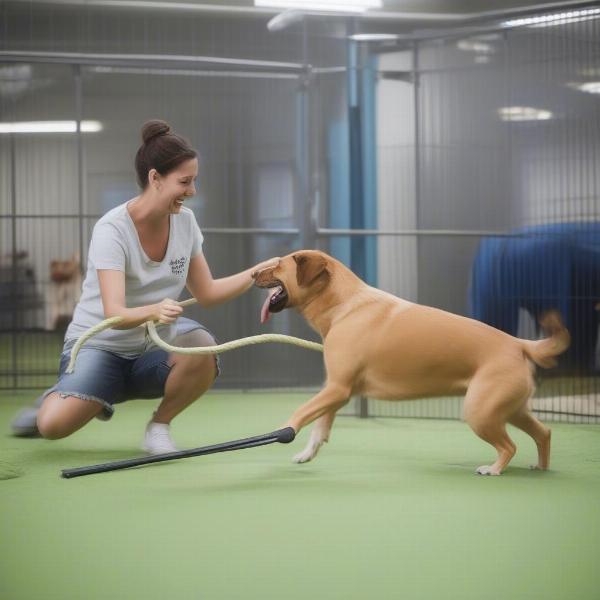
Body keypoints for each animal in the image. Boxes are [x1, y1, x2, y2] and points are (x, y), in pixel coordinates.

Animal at [251, 251, 568, 476]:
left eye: (277, 266)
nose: (252, 273)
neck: (346, 306)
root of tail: (518, 343)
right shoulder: (337, 390)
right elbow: (320, 426)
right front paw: (307, 453)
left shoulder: (338, 388)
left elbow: (302, 412)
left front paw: (283, 431)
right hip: (511, 410)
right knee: (544, 433)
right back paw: (541, 467)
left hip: (481, 412)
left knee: (510, 446)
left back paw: (494, 469)